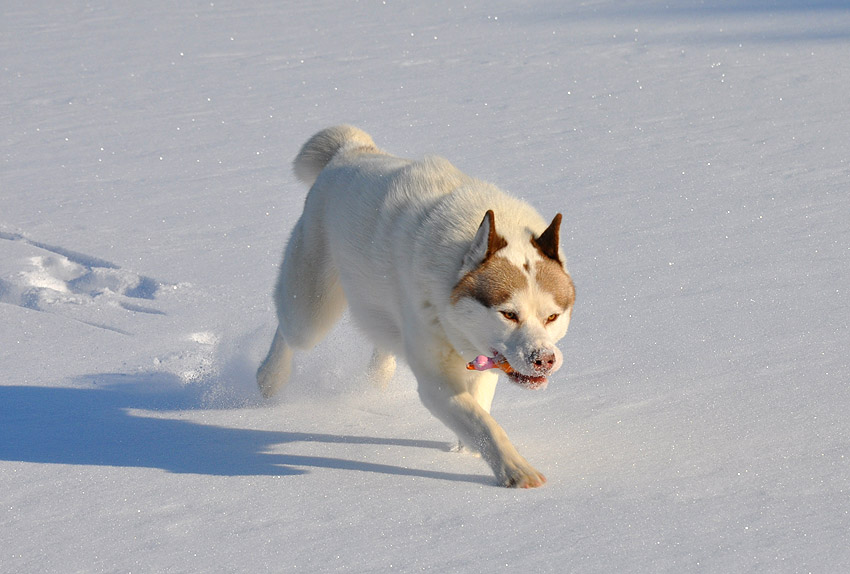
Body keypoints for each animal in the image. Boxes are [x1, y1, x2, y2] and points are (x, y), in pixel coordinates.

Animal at [256, 124, 576, 488]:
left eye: (552, 316)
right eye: (508, 314)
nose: (544, 360)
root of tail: (351, 151)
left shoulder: (485, 357)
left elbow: (479, 406)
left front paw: (467, 450)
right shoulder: (436, 378)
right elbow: (481, 422)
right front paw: (515, 470)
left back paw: (377, 378)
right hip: (312, 309)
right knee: (290, 330)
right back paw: (270, 377)